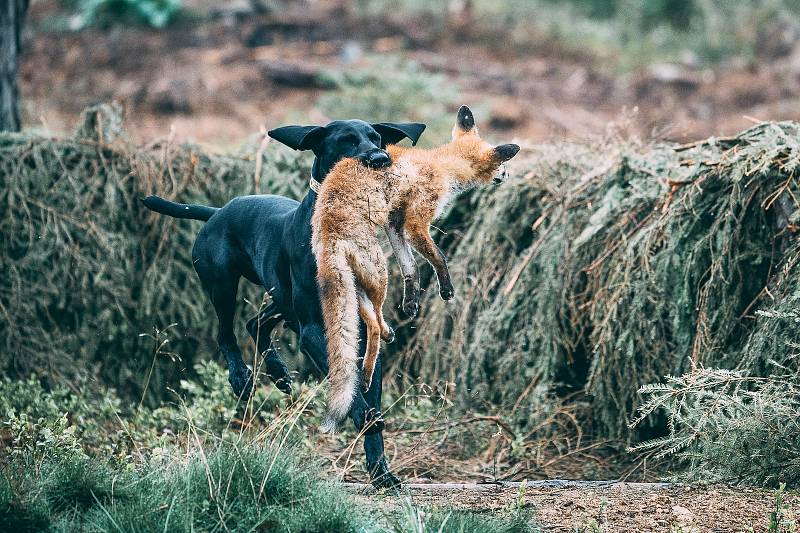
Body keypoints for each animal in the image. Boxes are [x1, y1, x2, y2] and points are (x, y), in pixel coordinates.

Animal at [141, 119, 424, 486]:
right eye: (345, 141)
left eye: (377, 138)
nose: (380, 159)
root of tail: (218, 211)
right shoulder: (314, 330)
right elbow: (352, 388)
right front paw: (363, 416)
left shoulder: (366, 334)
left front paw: (381, 472)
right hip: (222, 283)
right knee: (226, 332)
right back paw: (241, 379)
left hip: (279, 297)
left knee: (255, 323)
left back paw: (277, 372)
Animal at [310, 106, 520, 430]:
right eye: (501, 162)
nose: (507, 173)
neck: (440, 164)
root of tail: (329, 232)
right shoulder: (416, 220)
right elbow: (438, 257)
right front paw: (446, 289)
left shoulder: (395, 221)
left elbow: (411, 267)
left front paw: (411, 301)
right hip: (379, 274)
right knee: (374, 322)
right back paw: (380, 347)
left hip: (358, 283)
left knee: (370, 325)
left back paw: (369, 369)